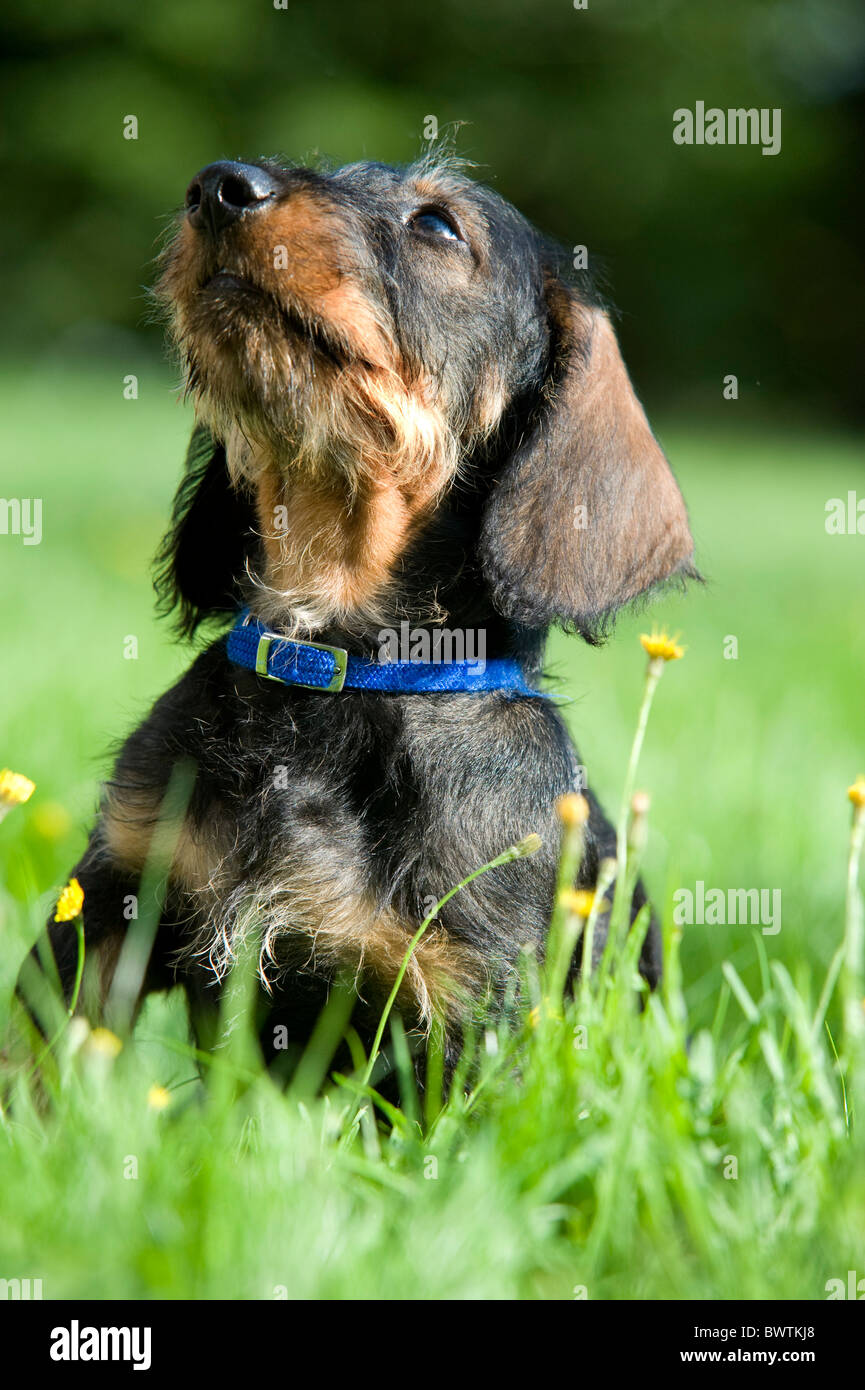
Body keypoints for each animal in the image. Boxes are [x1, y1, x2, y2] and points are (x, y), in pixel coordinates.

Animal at [16, 149, 698, 1084]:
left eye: (438, 225)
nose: (221, 185)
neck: (329, 664)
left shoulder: (467, 1011)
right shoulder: (105, 897)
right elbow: (34, 1069)